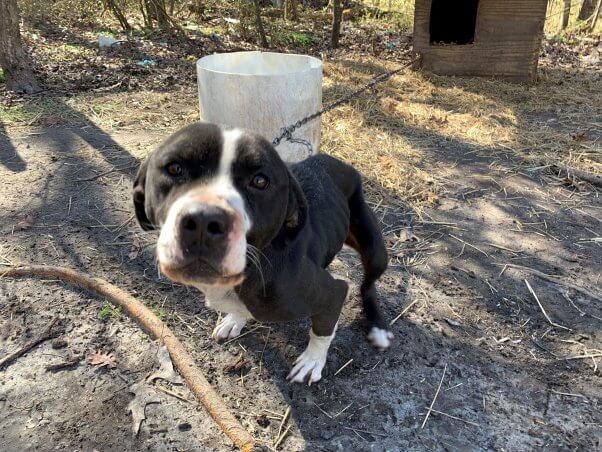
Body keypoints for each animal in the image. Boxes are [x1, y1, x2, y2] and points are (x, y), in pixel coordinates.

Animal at [134, 122, 392, 384]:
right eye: (174, 168)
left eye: (260, 181)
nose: (204, 221)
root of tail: (341, 163)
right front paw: (235, 320)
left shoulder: (331, 293)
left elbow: (323, 330)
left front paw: (312, 361)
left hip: (375, 250)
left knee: (367, 285)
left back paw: (378, 328)